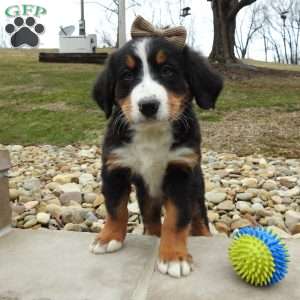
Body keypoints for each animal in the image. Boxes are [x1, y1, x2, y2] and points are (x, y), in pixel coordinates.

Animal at [89, 37, 223, 278]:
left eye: (168, 70)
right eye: (127, 75)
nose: (148, 105)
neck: (151, 135)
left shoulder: (181, 171)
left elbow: (176, 219)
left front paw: (174, 257)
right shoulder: (115, 167)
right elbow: (115, 208)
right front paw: (108, 238)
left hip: (197, 188)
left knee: (198, 216)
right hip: (147, 196)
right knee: (151, 220)